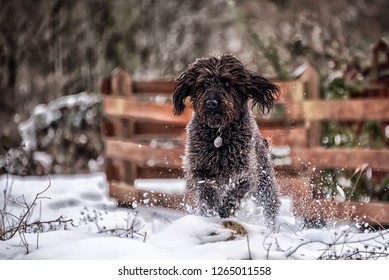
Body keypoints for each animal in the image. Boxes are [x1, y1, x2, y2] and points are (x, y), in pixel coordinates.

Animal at [172, 53, 278, 229]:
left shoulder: (246, 172)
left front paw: (225, 210)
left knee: (271, 208)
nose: (211, 103)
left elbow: (236, 191)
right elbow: (207, 192)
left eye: (227, 83)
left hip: (265, 183)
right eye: (204, 84)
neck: (218, 133)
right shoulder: (200, 169)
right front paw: (211, 211)